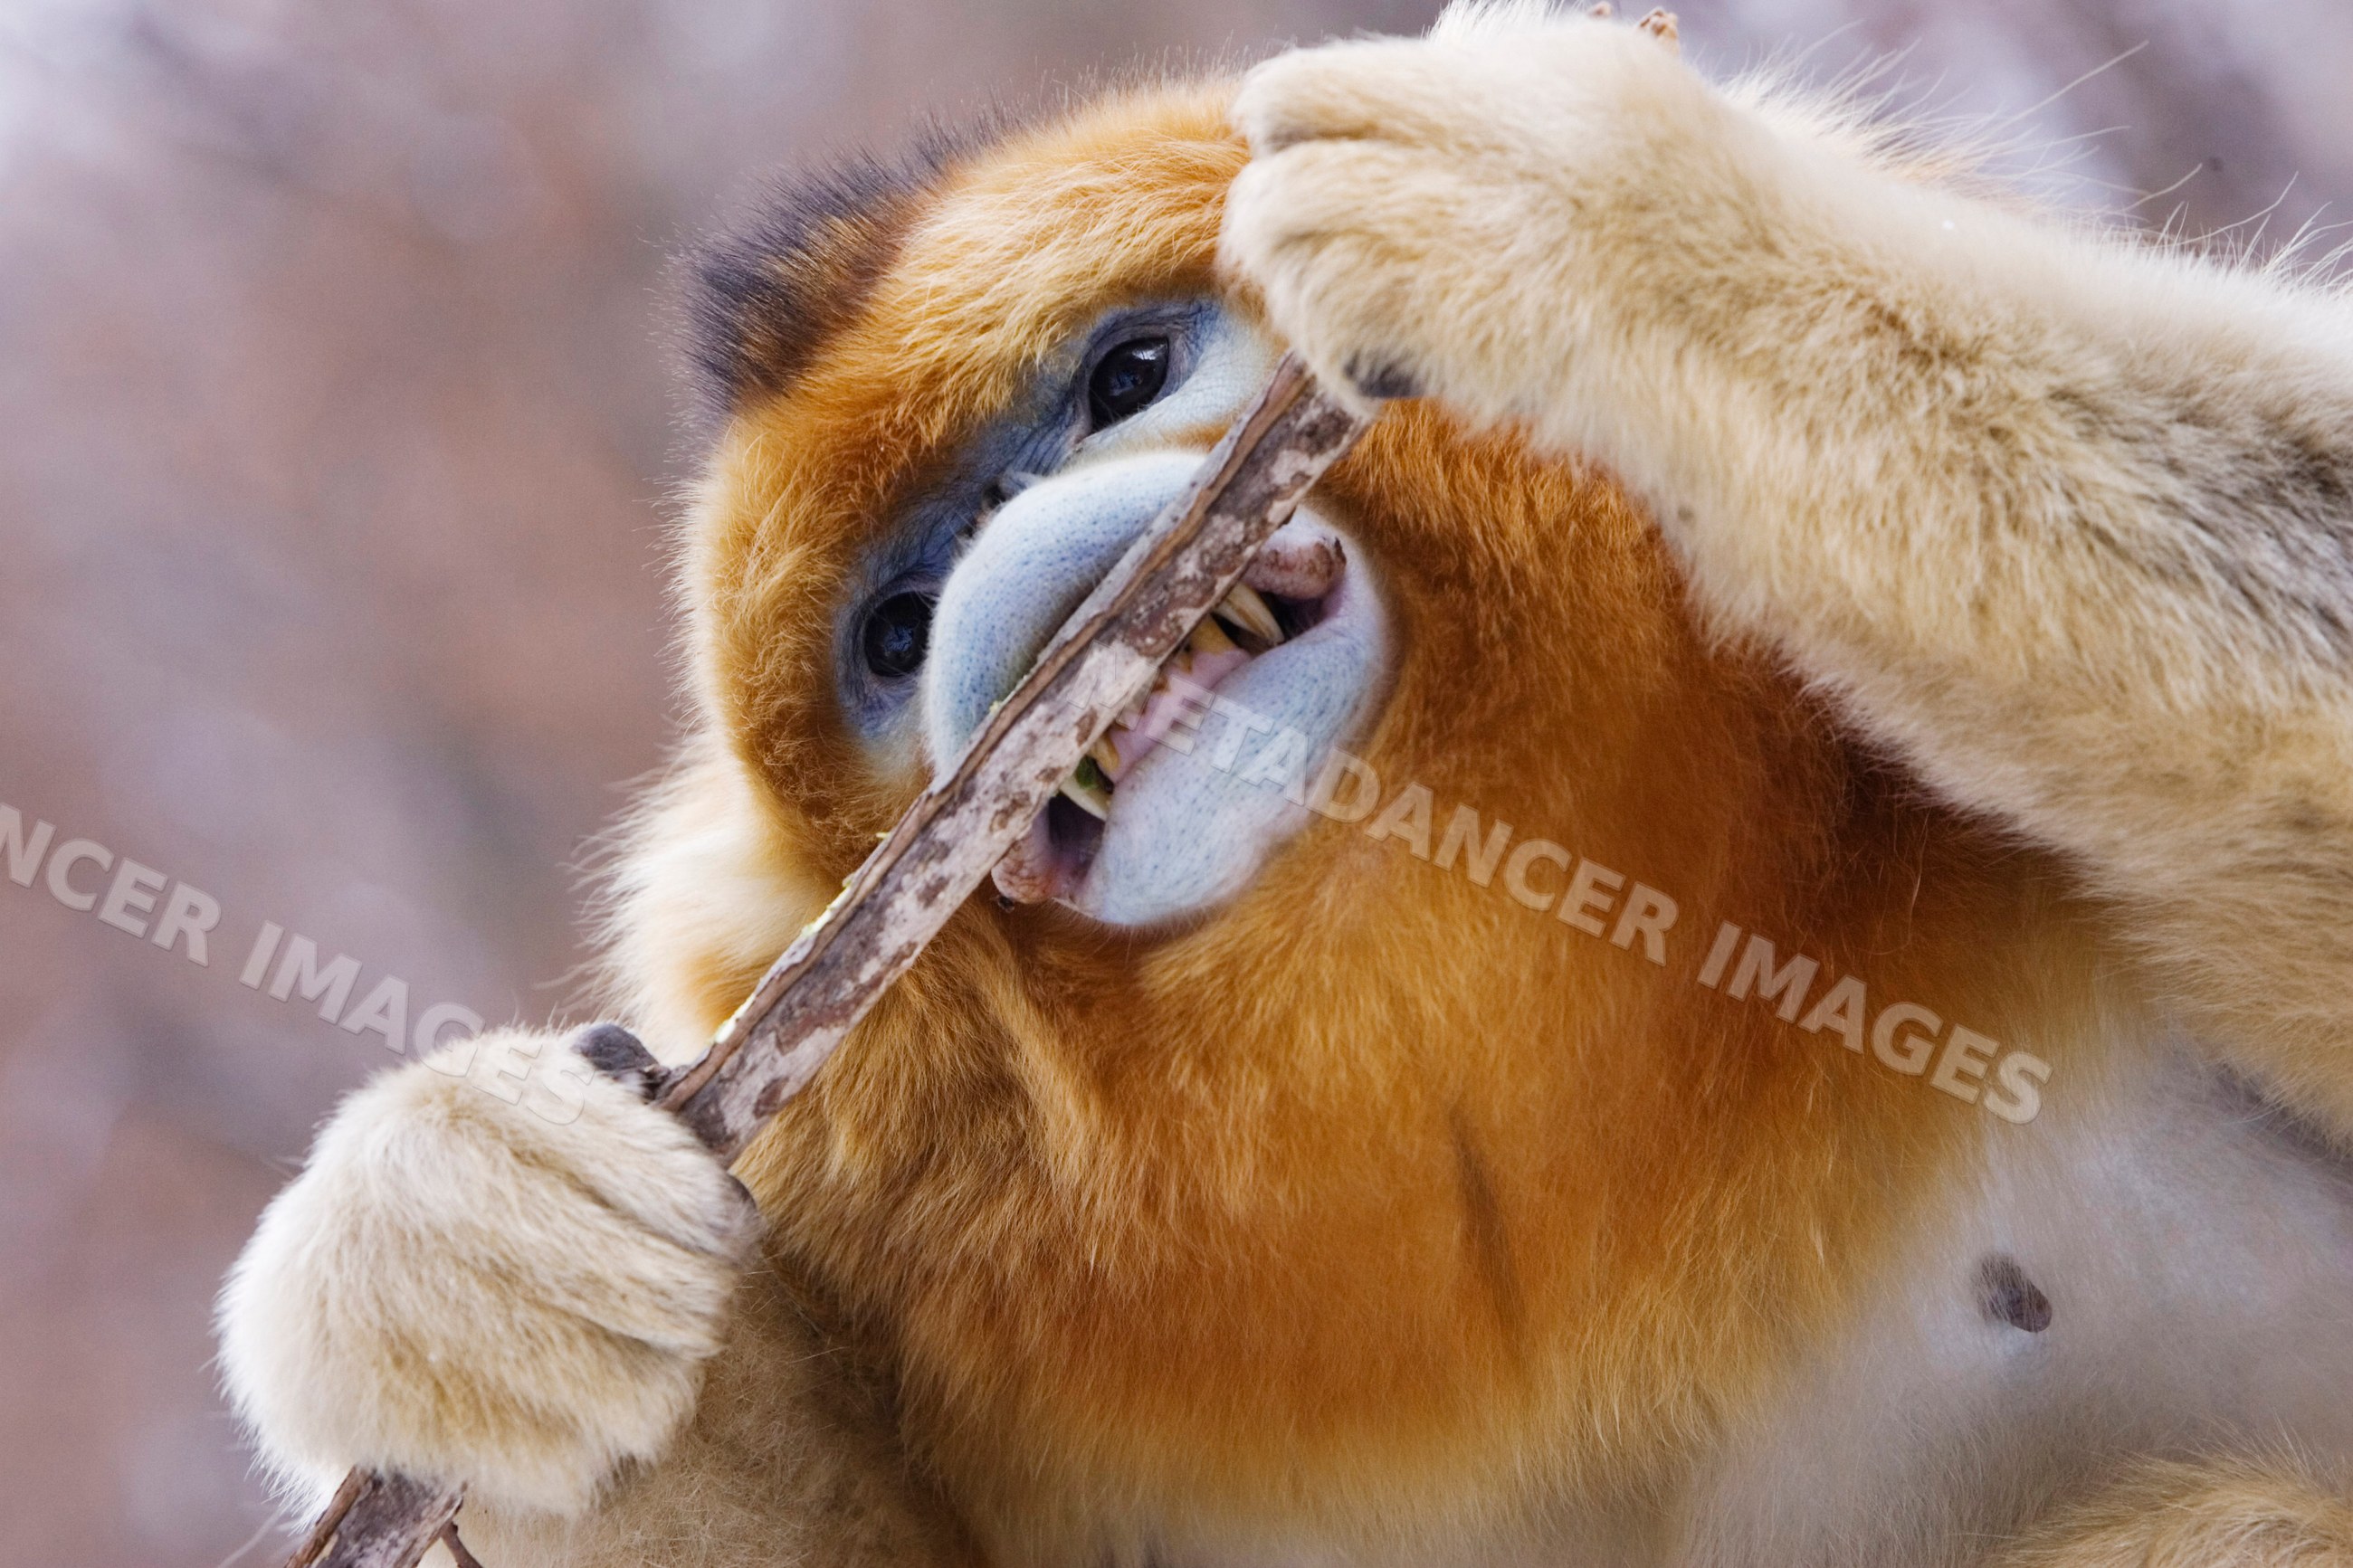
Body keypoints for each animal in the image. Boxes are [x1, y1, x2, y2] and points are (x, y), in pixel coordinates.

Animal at [218, 5, 2353, 1564]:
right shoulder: (822, 1104)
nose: (995, 587)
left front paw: (1603, 238)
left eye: (1125, 375)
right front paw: (452, 1245)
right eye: (896, 632)